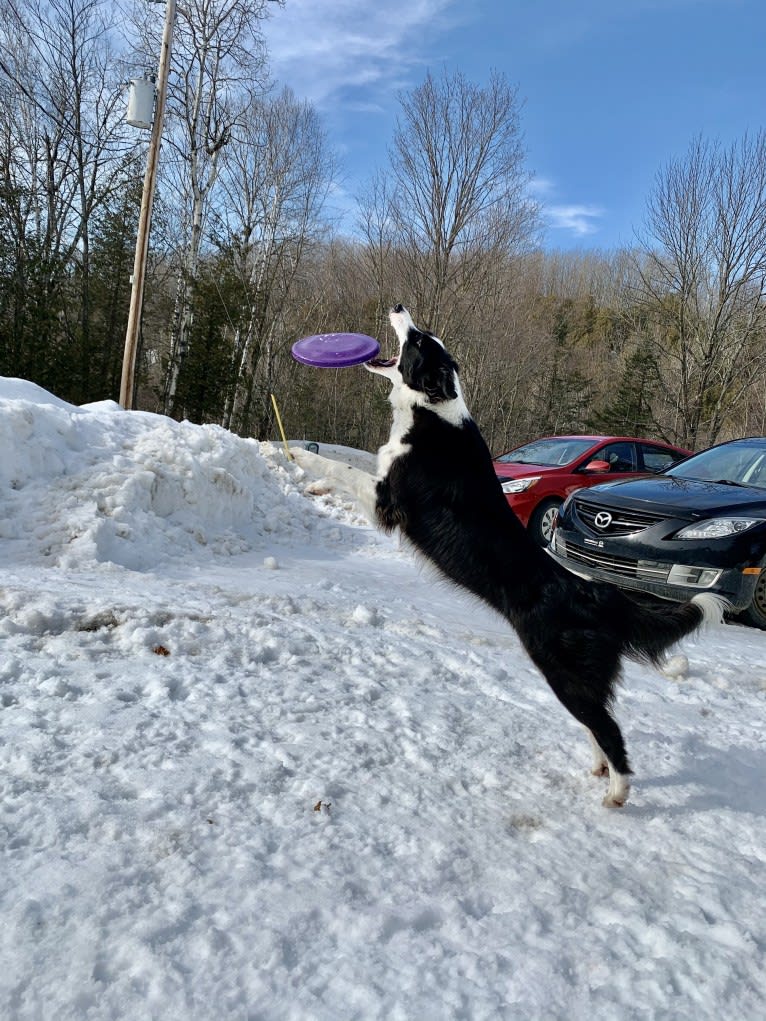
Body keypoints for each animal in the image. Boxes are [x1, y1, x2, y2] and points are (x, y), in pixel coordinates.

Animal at [296, 302, 727, 804]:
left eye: (418, 341)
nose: (399, 306)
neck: (432, 412)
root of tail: (595, 593)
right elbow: (348, 466)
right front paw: (312, 482)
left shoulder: (390, 500)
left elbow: (341, 466)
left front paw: (295, 455)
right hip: (579, 679)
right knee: (598, 726)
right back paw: (599, 770)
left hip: (563, 671)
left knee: (610, 730)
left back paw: (616, 793)